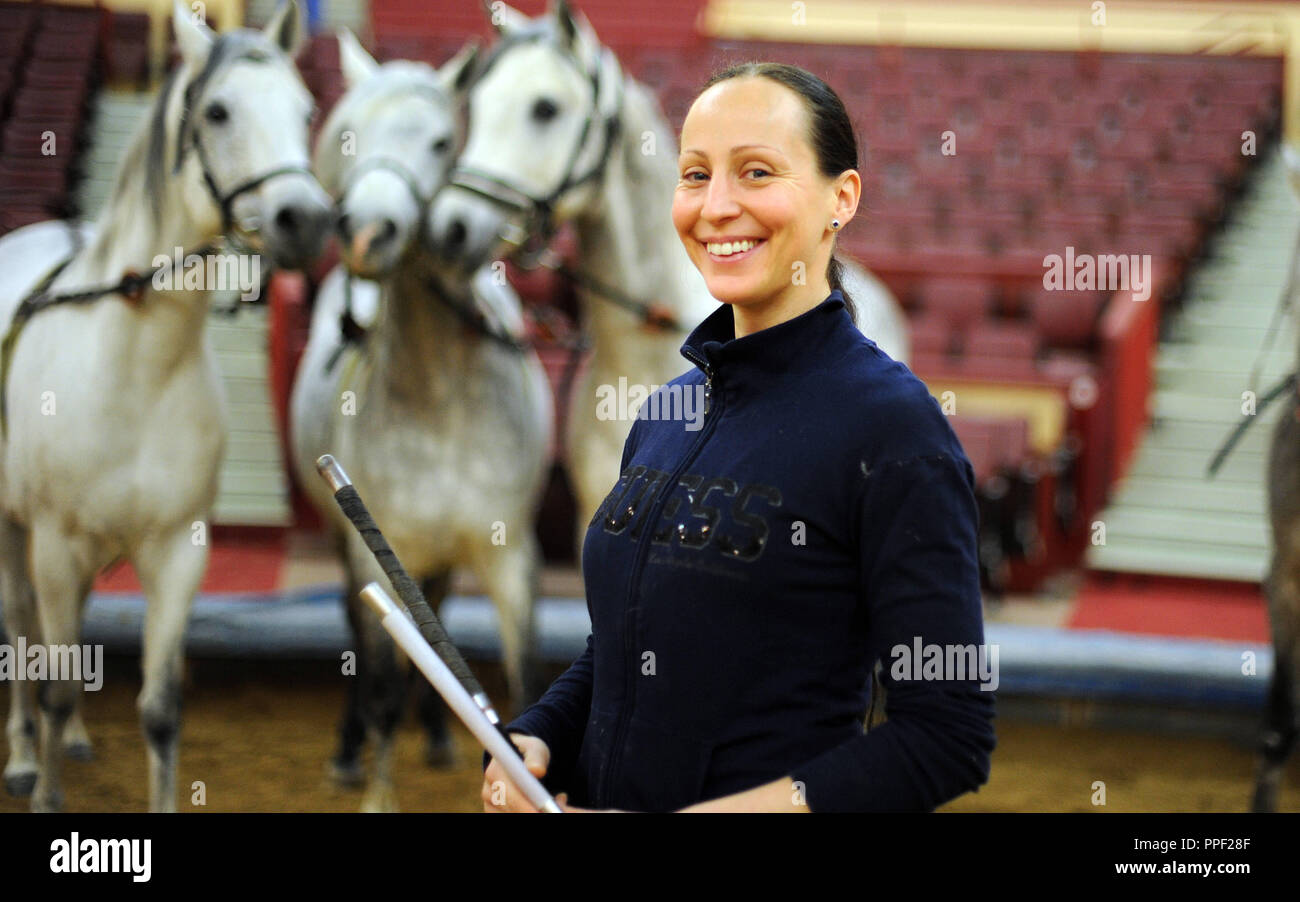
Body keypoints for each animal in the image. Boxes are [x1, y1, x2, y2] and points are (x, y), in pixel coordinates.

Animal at [0, 0, 330, 816]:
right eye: (217, 111)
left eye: (306, 110)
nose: (306, 220)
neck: (133, 368)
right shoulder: (54, 543)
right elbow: (53, 679)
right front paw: (45, 794)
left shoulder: (179, 551)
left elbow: (159, 709)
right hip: (13, 530)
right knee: (19, 629)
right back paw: (23, 755)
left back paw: (72, 740)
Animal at [295, 33, 553, 811]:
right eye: (347, 134)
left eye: (442, 139)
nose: (367, 233)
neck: (440, 397)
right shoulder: (379, 546)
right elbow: (382, 684)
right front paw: (377, 786)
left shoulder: (509, 555)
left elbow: (519, 679)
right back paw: (349, 752)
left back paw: (440, 736)